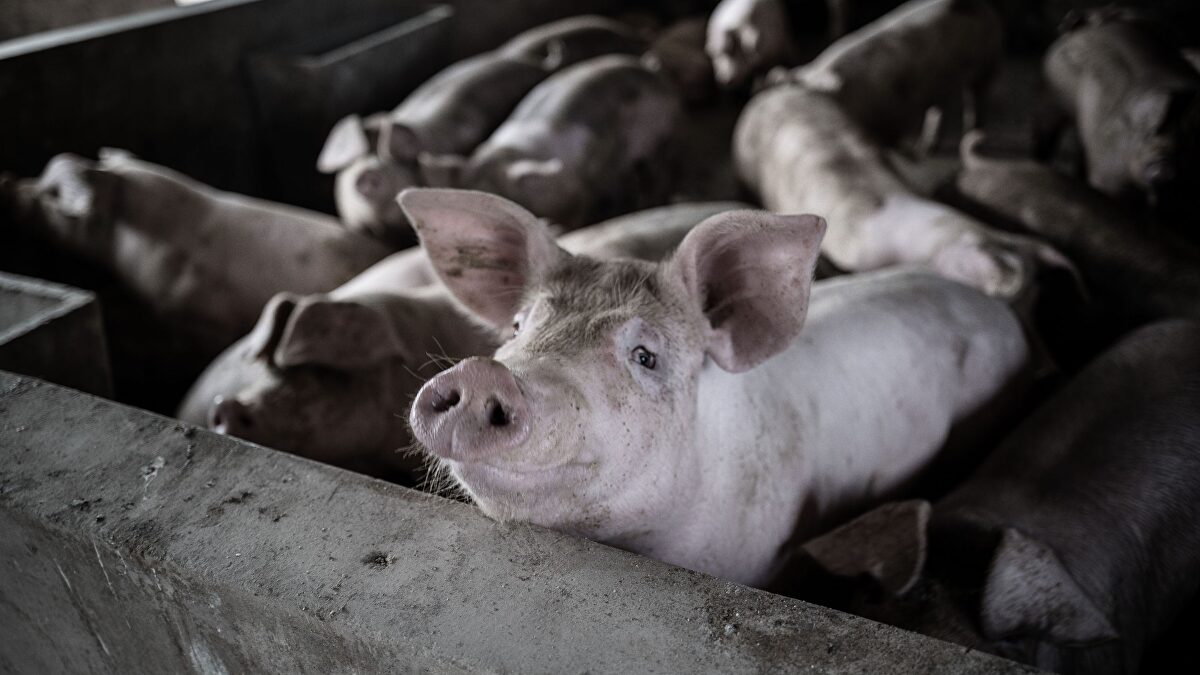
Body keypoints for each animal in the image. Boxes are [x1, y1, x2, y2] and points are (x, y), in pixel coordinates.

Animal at [786, 0, 1003, 150]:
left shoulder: (892, 117)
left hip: (988, 62)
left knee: (976, 99)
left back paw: (973, 136)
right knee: (939, 107)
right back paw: (926, 147)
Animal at [1037, 14, 1200, 215]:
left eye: (1190, 141)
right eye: (1148, 133)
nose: (1163, 167)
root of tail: (1084, 25)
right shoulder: (1110, 174)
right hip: (1048, 97)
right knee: (1045, 137)